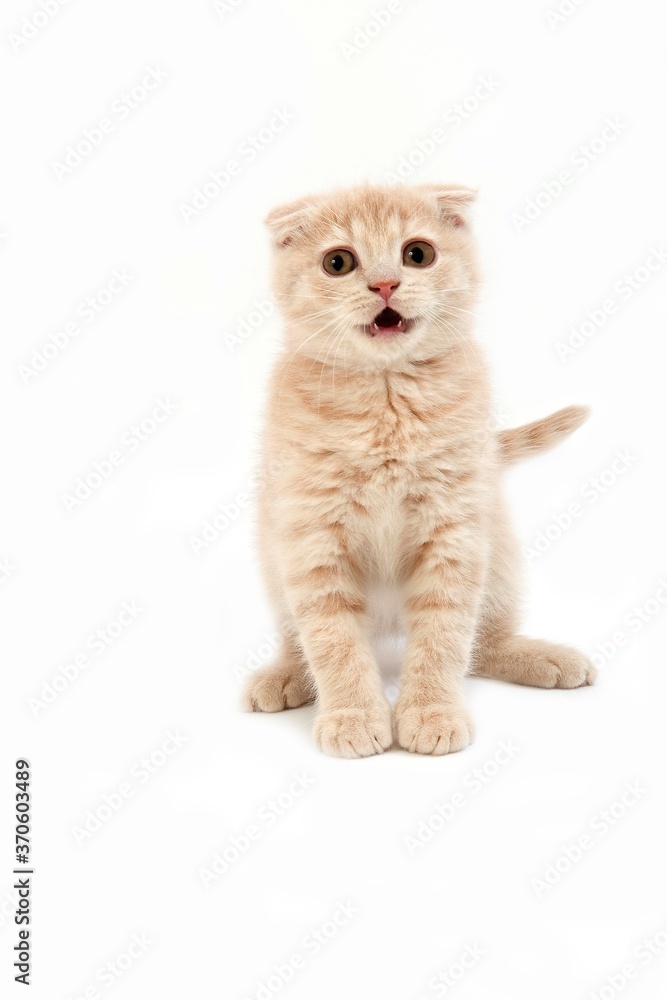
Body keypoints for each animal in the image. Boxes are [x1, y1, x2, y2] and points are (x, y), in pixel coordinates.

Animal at [244, 184, 596, 756]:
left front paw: (432, 712)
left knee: (484, 641)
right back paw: (285, 675)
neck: (387, 398)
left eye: (418, 254)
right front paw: (353, 716)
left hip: (497, 551)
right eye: (338, 262)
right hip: (273, 559)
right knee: (297, 636)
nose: (385, 283)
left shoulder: (456, 532)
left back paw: (542, 657)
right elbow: (331, 638)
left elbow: (445, 635)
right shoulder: (310, 538)